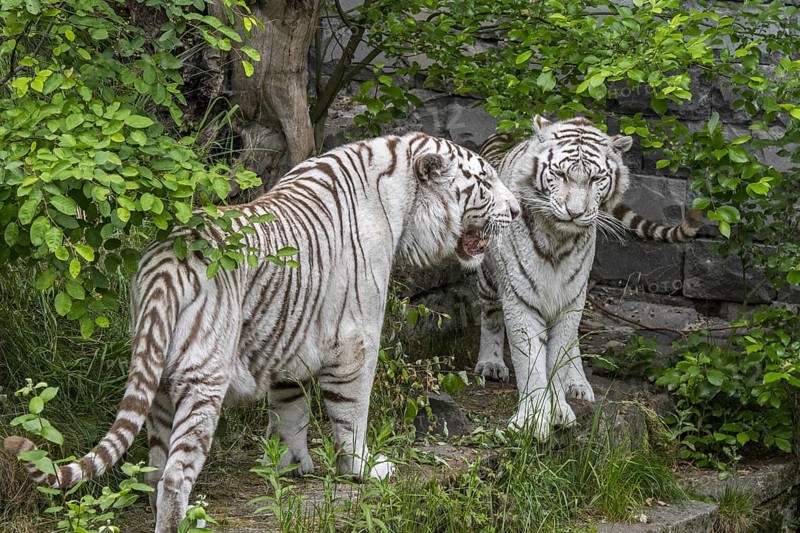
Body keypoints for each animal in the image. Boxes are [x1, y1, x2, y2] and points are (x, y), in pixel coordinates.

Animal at [5, 132, 520, 533]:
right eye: (485, 182)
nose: (516, 210)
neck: (401, 203)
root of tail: (166, 260)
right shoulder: (356, 340)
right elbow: (351, 413)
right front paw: (365, 468)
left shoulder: (290, 339)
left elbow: (289, 409)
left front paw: (292, 465)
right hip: (203, 380)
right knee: (174, 475)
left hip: (159, 381)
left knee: (154, 468)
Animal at [474, 115, 701, 439]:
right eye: (559, 174)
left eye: (595, 179)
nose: (574, 212)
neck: (558, 238)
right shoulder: (520, 296)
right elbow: (530, 361)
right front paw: (532, 419)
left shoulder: (571, 297)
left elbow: (558, 356)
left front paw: (558, 408)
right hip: (489, 278)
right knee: (490, 314)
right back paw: (491, 364)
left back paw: (578, 384)